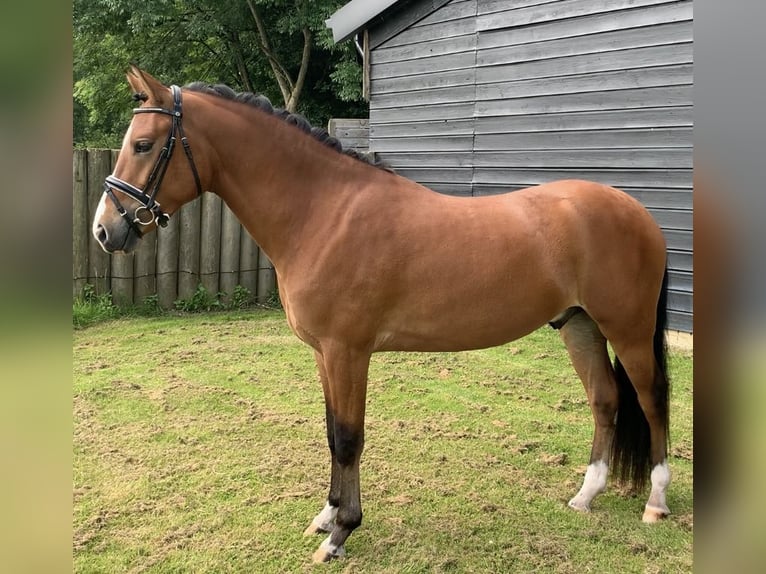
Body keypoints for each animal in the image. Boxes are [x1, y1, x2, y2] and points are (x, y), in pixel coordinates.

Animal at [93, 65, 676, 564]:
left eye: (143, 145)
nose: (105, 230)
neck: (324, 212)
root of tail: (636, 211)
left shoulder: (349, 351)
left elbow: (350, 437)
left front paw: (341, 533)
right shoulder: (325, 354)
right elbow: (332, 433)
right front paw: (327, 516)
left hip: (627, 329)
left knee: (650, 400)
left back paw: (656, 503)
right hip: (579, 325)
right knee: (604, 400)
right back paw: (586, 495)